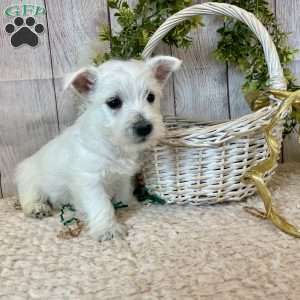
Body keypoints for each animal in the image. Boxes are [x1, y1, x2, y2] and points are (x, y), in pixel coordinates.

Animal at [15, 55, 182, 240]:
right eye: (114, 102)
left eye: (150, 97)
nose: (144, 127)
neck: (113, 143)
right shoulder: (90, 180)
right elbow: (102, 205)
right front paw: (108, 229)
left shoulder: (123, 177)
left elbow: (124, 194)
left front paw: (129, 205)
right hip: (30, 179)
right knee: (29, 195)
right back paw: (37, 208)